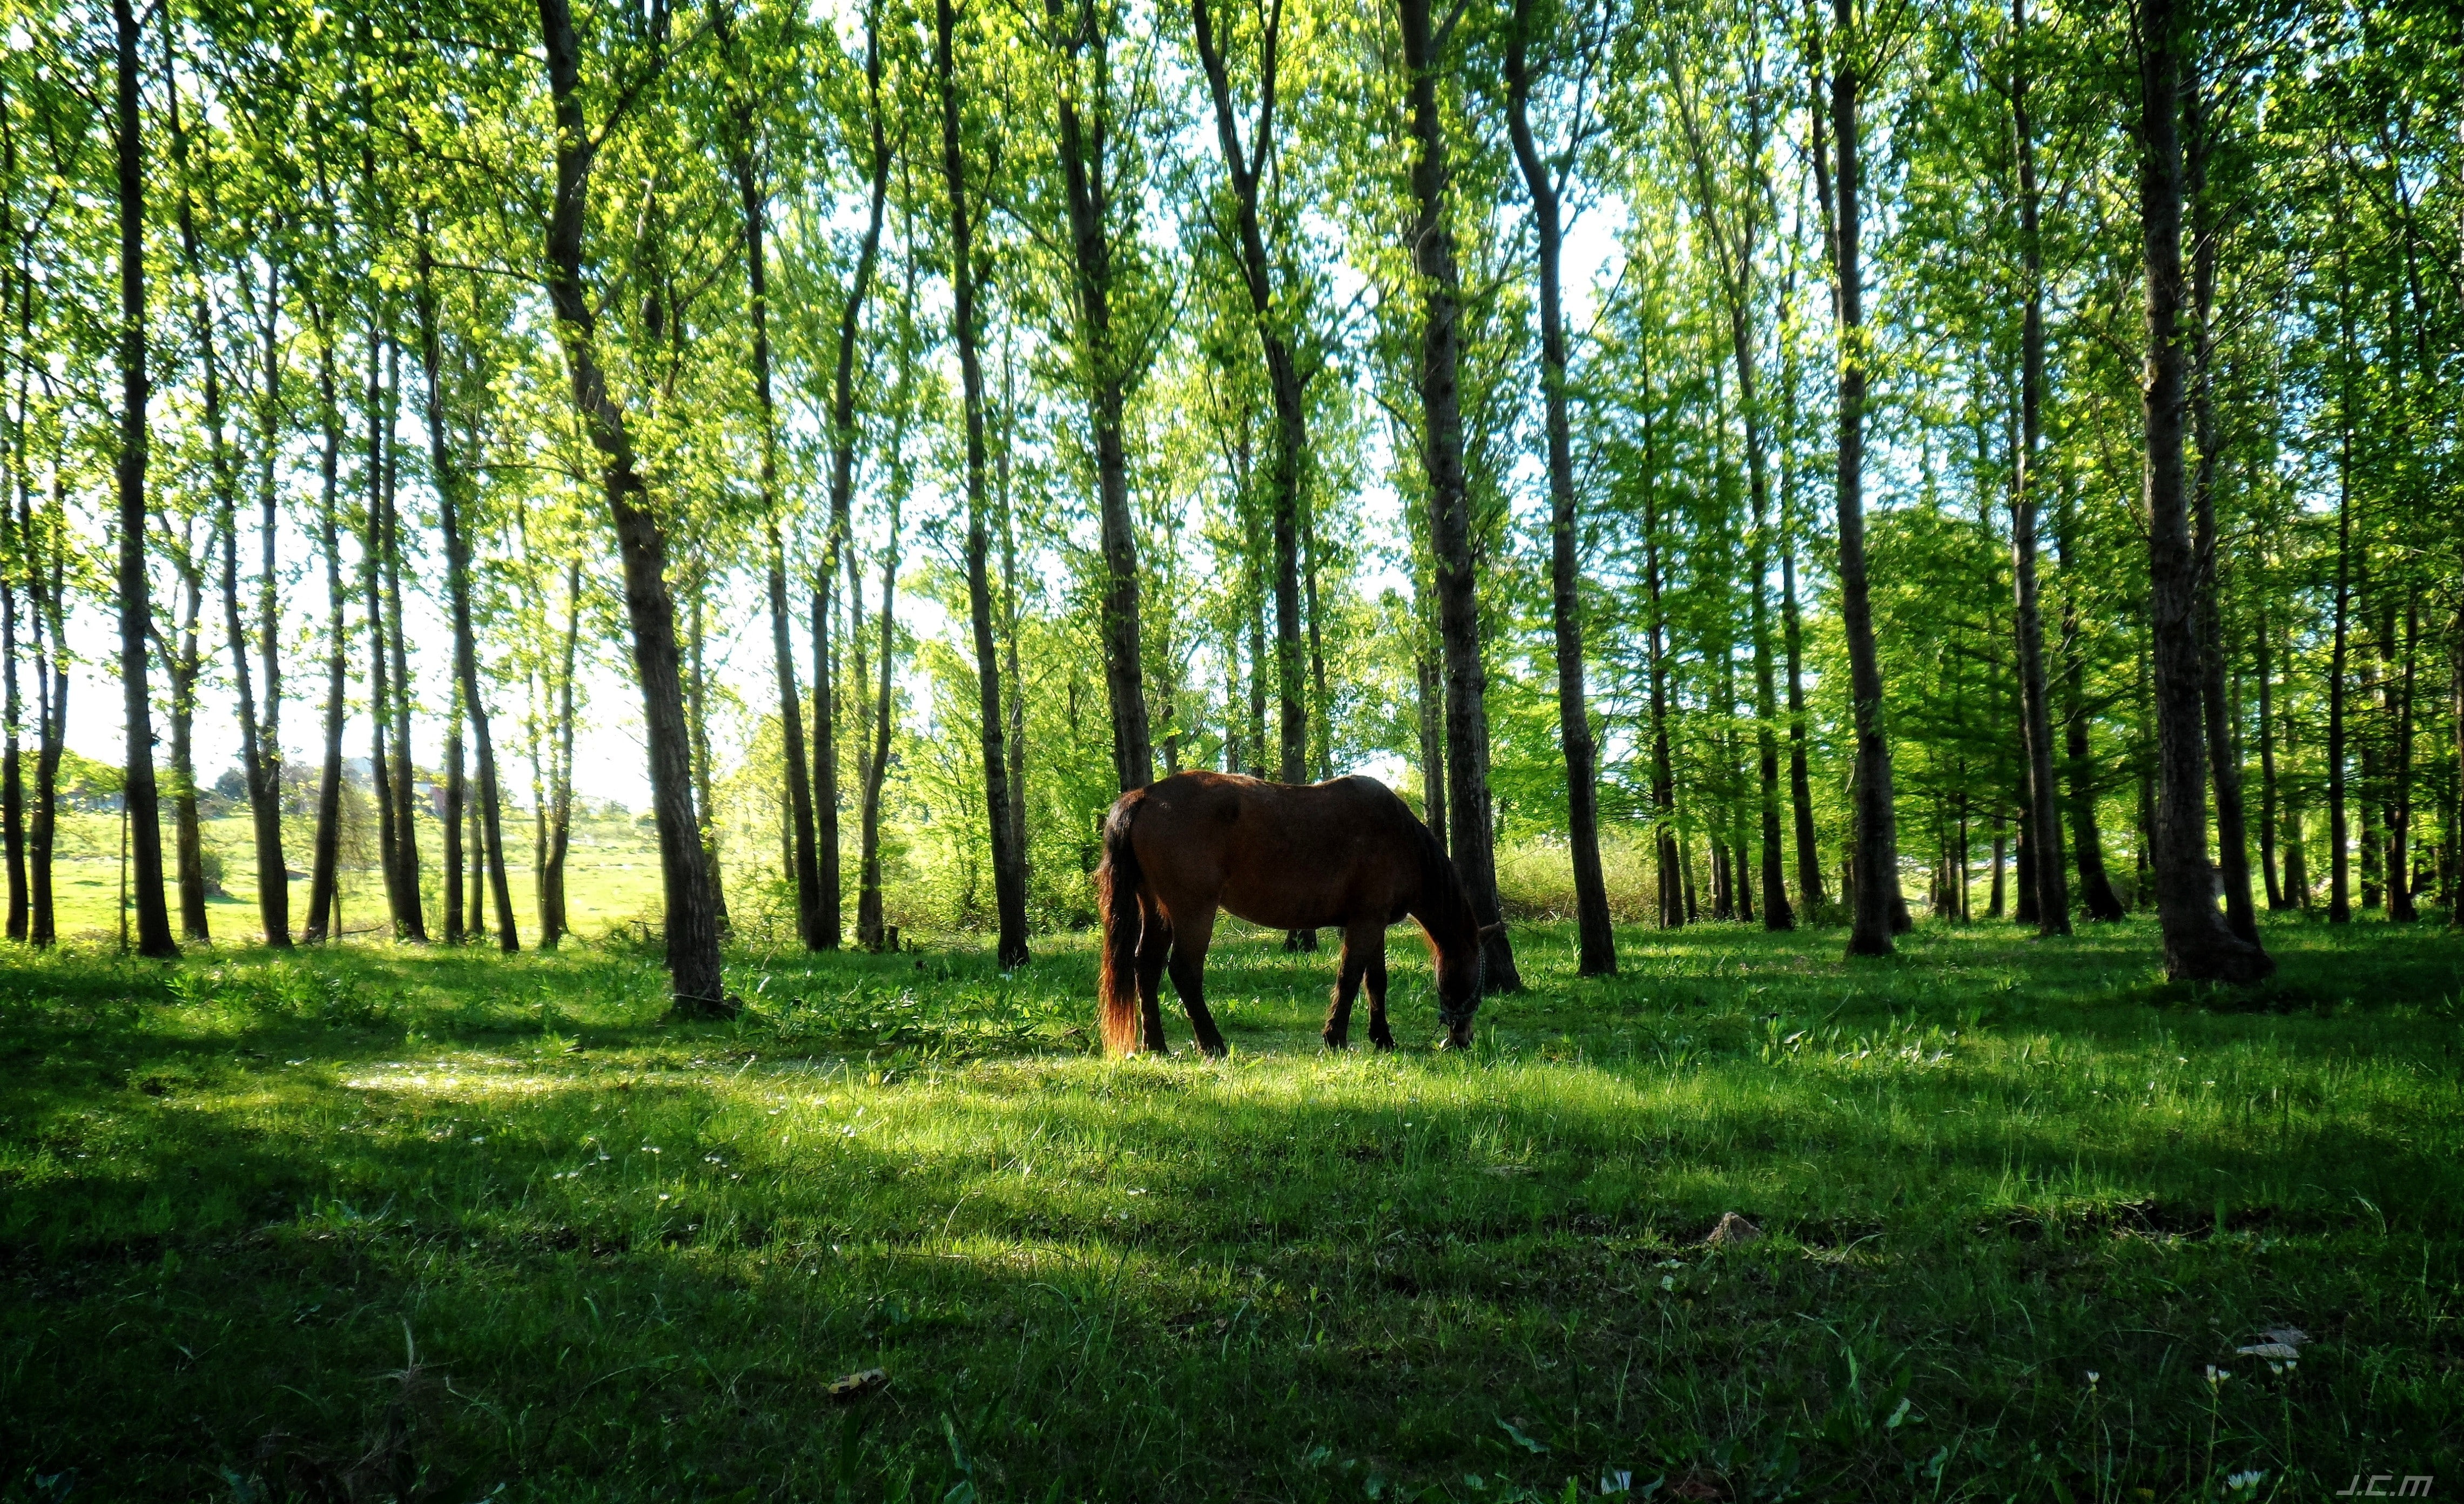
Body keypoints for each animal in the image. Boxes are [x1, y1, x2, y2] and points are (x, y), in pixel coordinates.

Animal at [1095, 770, 1501, 1057]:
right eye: (1476, 980)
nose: (1461, 1039)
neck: (1399, 837)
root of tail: (1145, 795)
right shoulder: (1365, 923)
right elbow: (1350, 977)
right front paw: (1336, 1037)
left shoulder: (1375, 924)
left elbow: (1376, 981)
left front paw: (1383, 1038)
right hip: (1193, 912)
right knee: (1183, 972)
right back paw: (1213, 1044)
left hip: (1157, 912)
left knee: (1146, 968)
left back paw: (1157, 1046)